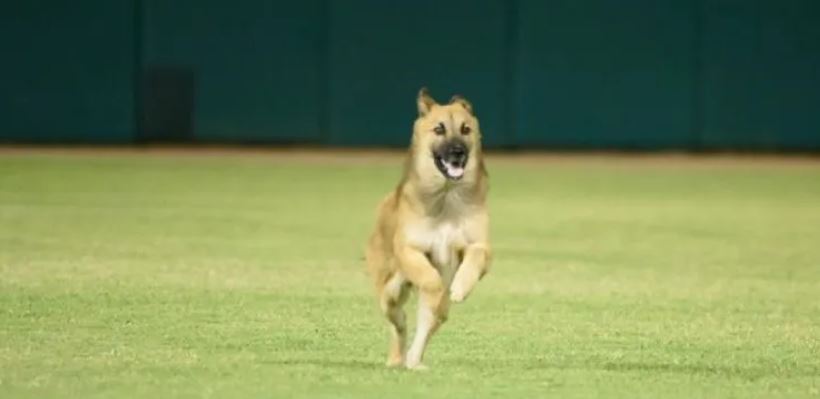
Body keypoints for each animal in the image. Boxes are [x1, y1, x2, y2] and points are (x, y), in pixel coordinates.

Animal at [366, 88, 494, 372]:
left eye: (466, 129)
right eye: (439, 129)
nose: (458, 152)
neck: (446, 196)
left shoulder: (480, 247)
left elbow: (474, 259)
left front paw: (460, 288)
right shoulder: (410, 250)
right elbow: (430, 279)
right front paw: (438, 291)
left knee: (424, 329)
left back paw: (414, 361)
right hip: (389, 291)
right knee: (398, 321)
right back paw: (398, 355)